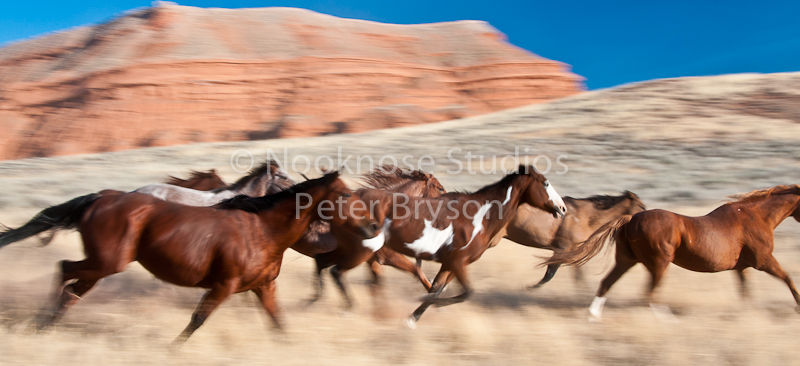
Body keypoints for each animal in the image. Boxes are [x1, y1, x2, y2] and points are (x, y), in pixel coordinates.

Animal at [0, 172, 378, 344]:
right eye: (346, 195)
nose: (374, 225)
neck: (262, 231)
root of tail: (99, 197)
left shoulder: (264, 288)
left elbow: (278, 323)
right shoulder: (224, 285)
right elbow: (197, 320)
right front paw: (171, 350)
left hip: (101, 267)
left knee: (72, 290)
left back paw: (44, 324)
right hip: (106, 262)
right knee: (64, 270)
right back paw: (39, 323)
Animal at [548, 184, 800, 322]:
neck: (756, 216)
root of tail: (631, 218)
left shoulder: (741, 268)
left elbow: (746, 293)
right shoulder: (764, 261)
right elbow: (788, 278)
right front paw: (798, 306)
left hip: (627, 261)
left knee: (607, 284)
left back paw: (593, 316)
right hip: (659, 264)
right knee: (648, 295)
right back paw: (668, 320)